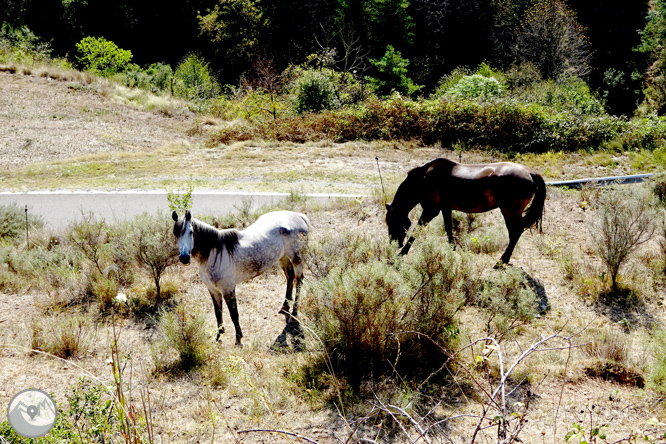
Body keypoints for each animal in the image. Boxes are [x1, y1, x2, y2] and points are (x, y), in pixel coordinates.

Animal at [170, 210, 308, 346]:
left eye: (191, 232)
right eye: (176, 234)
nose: (184, 258)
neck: (215, 254)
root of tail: (299, 216)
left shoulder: (228, 290)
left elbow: (234, 314)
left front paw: (238, 339)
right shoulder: (213, 290)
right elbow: (218, 313)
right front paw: (219, 336)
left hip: (297, 259)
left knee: (298, 281)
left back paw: (294, 313)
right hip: (282, 257)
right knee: (289, 277)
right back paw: (285, 306)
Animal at [384, 158, 544, 266]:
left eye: (392, 221)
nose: (394, 243)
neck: (424, 178)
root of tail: (530, 172)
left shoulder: (430, 211)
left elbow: (415, 232)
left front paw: (400, 255)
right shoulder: (445, 209)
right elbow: (449, 229)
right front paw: (453, 249)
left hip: (510, 212)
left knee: (515, 232)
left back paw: (501, 261)